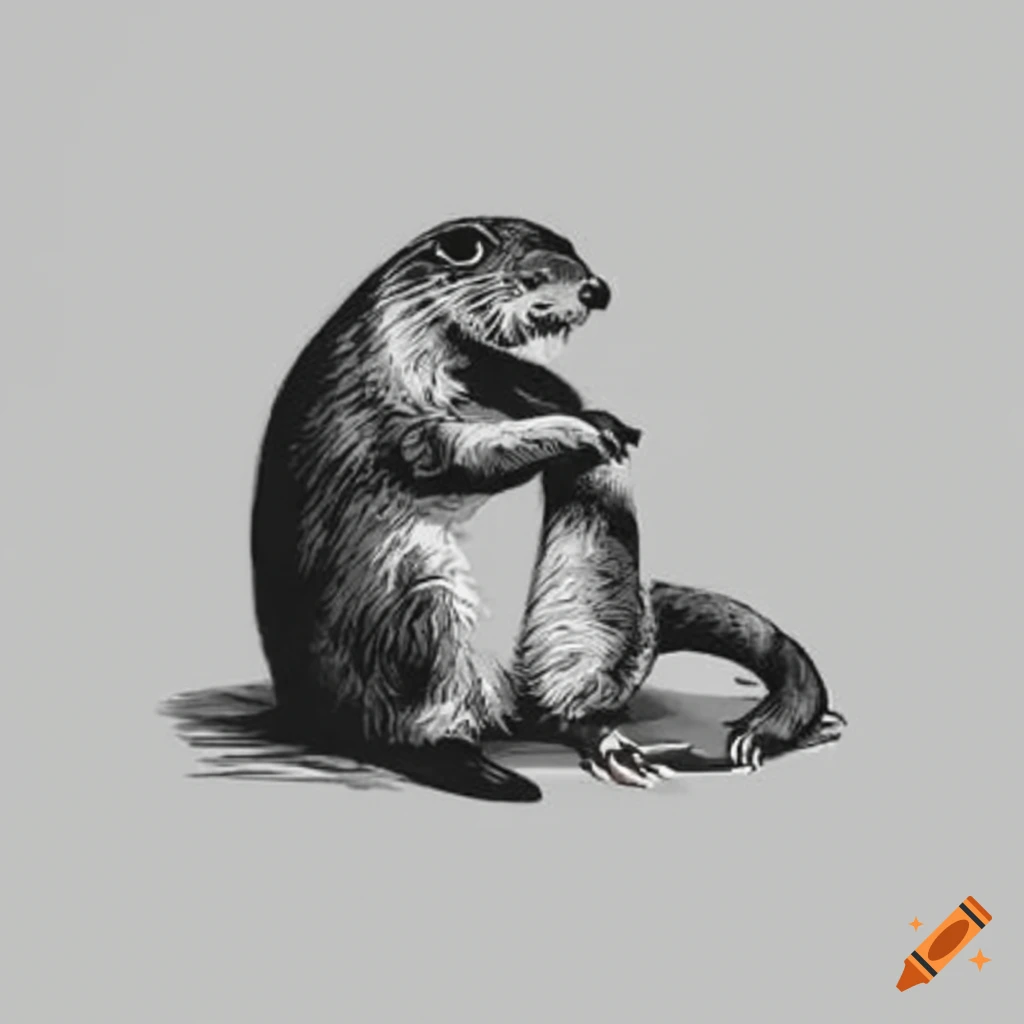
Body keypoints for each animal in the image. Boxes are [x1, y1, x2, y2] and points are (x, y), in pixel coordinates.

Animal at [251, 216, 844, 801]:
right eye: (535, 275)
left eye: (576, 256)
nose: (596, 290)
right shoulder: (395, 411)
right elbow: (460, 453)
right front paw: (581, 430)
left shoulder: (504, 378)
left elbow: (541, 393)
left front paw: (603, 423)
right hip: (421, 615)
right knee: (403, 726)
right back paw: (485, 771)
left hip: (594, 609)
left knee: (562, 704)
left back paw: (608, 743)